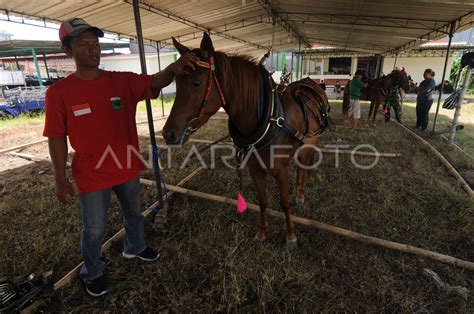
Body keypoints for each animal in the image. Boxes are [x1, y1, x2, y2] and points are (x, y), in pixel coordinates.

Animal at [162, 32, 330, 248]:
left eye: (196, 83)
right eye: (176, 83)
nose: (168, 134)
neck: (269, 117)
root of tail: (313, 85)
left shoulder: (280, 170)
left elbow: (284, 203)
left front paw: (291, 235)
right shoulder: (255, 170)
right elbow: (263, 201)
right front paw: (263, 231)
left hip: (311, 141)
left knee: (304, 164)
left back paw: (300, 193)